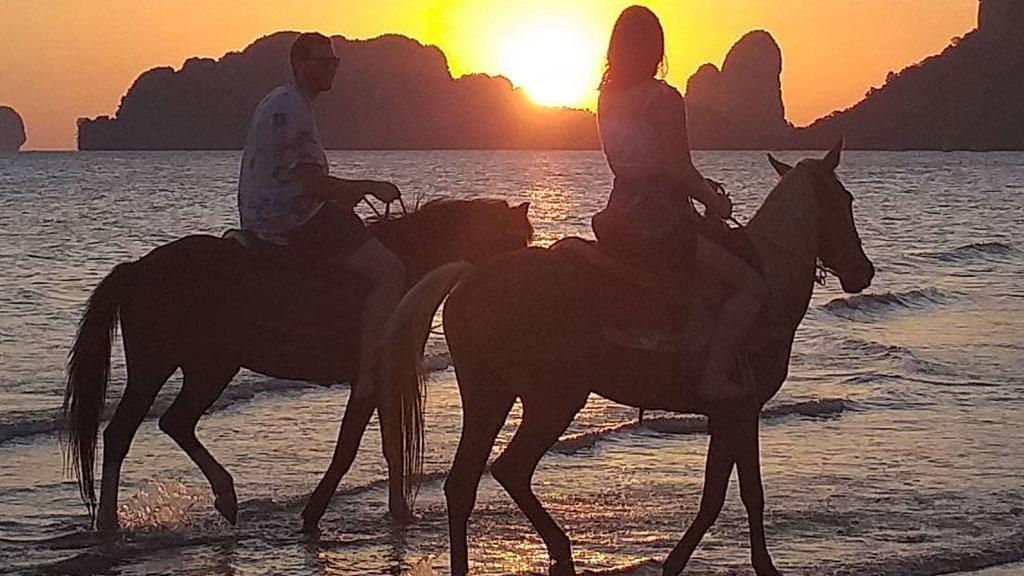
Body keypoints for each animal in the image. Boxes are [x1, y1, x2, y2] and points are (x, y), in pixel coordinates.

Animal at [61, 197, 533, 534]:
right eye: (518, 243)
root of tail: (139, 268)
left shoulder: (384, 380)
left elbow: (390, 446)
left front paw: (399, 512)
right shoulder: (369, 379)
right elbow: (348, 447)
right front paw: (313, 512)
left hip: (204, 367)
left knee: (171, 423)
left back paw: (222, 499)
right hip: (166, 368)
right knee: (126, 432)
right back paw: (112, 524)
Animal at [380, 141, 875, 576]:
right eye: (845, 200)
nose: (863, 272)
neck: (769, 277)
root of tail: (470, 276)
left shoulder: (728, 413)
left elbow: (721, 493)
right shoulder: (741, 409)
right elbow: (741, 494)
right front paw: (754, 566)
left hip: (491, 396)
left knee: (464, 484)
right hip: (553, 400)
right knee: (509, 469)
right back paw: (562, 551)